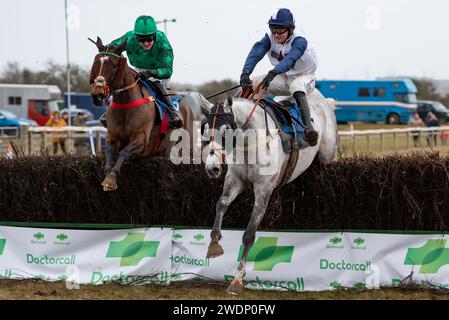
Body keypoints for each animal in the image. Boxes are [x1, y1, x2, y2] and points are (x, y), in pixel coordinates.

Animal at [90, 37, 211, 190]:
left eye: (115, 66)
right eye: (95, 63)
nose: (97, 95)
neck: (126, 105)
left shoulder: (141, 139)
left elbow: (124, 152)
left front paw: (111, 179)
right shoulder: (112, 136)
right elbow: (109, 153)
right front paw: (107, 177)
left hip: (188, 146)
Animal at [202, 90, 336, 296]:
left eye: (226, 131)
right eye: (205, 131)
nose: (212, 168)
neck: (249, 143)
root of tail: (320, 98)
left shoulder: (263, 190)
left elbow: (249, 234)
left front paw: (237, 279)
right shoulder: (235, 180)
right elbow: (221, 204)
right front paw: (214, 244)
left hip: (327, 155)